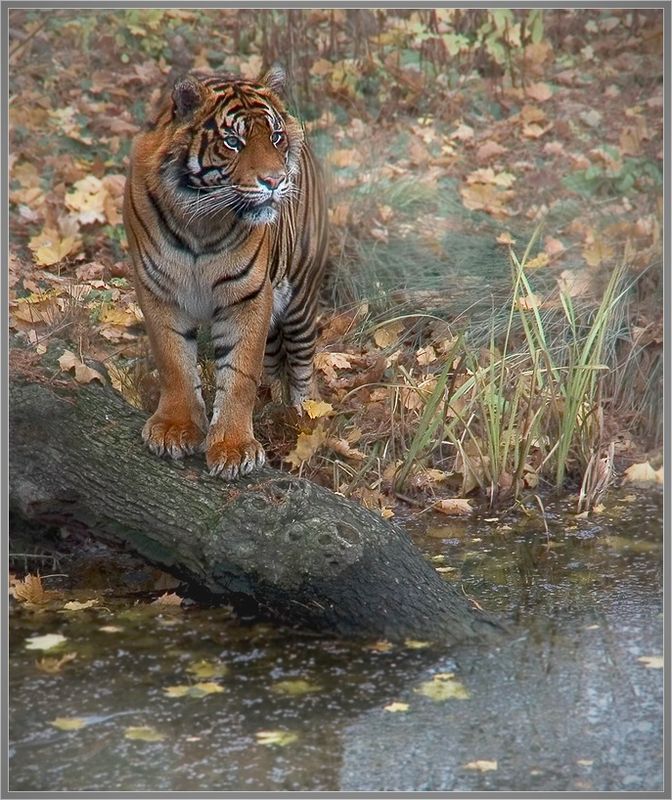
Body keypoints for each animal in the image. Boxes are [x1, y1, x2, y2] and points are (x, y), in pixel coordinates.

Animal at [124, 65, 330, 478]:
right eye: (233, 142)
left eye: (275, 137)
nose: (275, 181)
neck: (199, 223)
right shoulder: (158, 290)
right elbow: (174, 362)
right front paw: (174, 428)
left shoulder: (248, 296)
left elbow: (239, 373)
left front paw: (234, 448)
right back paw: (272, 405)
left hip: (300, 300)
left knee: (302, 366)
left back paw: (303, 419)